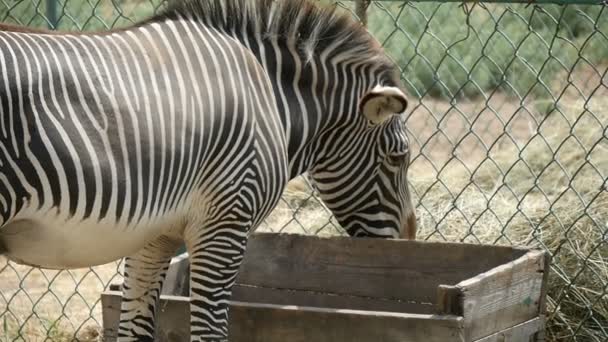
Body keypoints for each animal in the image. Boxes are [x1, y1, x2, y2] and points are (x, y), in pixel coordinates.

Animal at [0, 0, 416, 340]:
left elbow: (136, 329)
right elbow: (209, 331)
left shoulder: (154, 235)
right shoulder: (224, 224)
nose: (409, 241)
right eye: (398, 157)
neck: (269, 96)